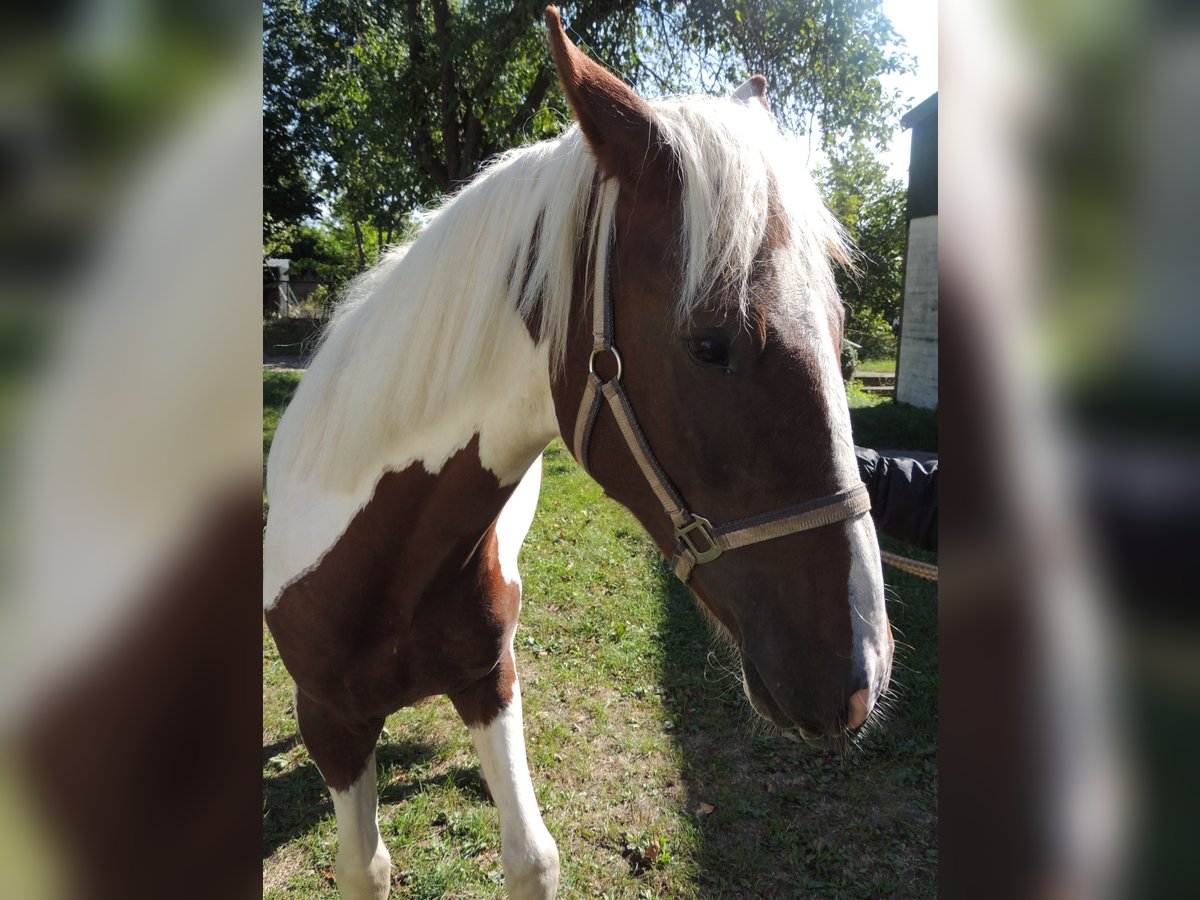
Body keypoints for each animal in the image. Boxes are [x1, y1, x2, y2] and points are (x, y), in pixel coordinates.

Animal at [265, 8, 892, 900]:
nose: (858, 678)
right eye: (710, 345)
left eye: (843, 341)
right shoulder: (329, 720)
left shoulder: (488, 682)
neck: (377, 562)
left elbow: (530, 857)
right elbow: (365, 867)